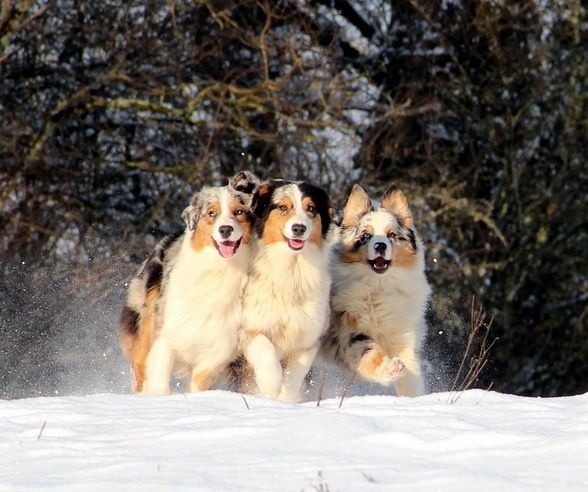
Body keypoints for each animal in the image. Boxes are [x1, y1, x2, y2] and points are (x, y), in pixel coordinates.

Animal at [118, 172, 259, 394]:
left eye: (239, 212)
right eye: (212, 213)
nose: (225, 229)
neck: (217, 269)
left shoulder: (215, 353)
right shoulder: (165, 335)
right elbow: (159, 381)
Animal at [238, 179, 335, 401]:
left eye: (311, 209)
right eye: (283, 207)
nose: (299, 228)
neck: (292, 270)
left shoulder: (308, 339)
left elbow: (294, 376)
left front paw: (286, 401)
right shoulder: (249, 329)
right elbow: (266, 352)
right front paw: (270, 389)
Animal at [320, 183, 431, 397]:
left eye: (391, 235)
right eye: (366, 236)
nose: (380, 245)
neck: (378, 286)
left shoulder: (402, 333)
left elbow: (411, 374)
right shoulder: (350, 330)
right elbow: (370, 353)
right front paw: (390, 368)